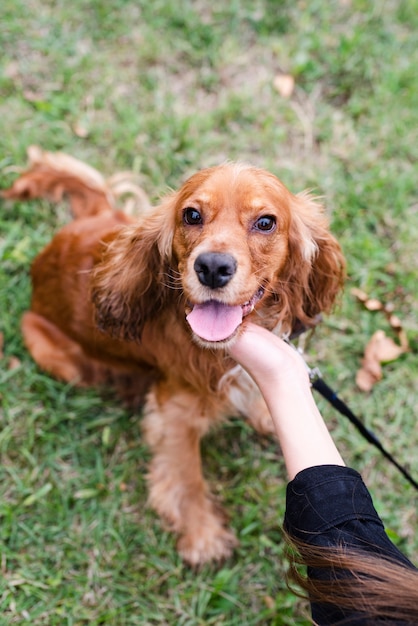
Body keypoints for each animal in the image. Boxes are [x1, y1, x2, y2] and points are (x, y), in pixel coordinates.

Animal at [1, 149, 344, 564]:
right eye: (192, 215)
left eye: (265, 222)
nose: (212, 267)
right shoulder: (175, 410)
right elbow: (186, 475)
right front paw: (202, 536)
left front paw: (265, 413)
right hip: (53, 352)